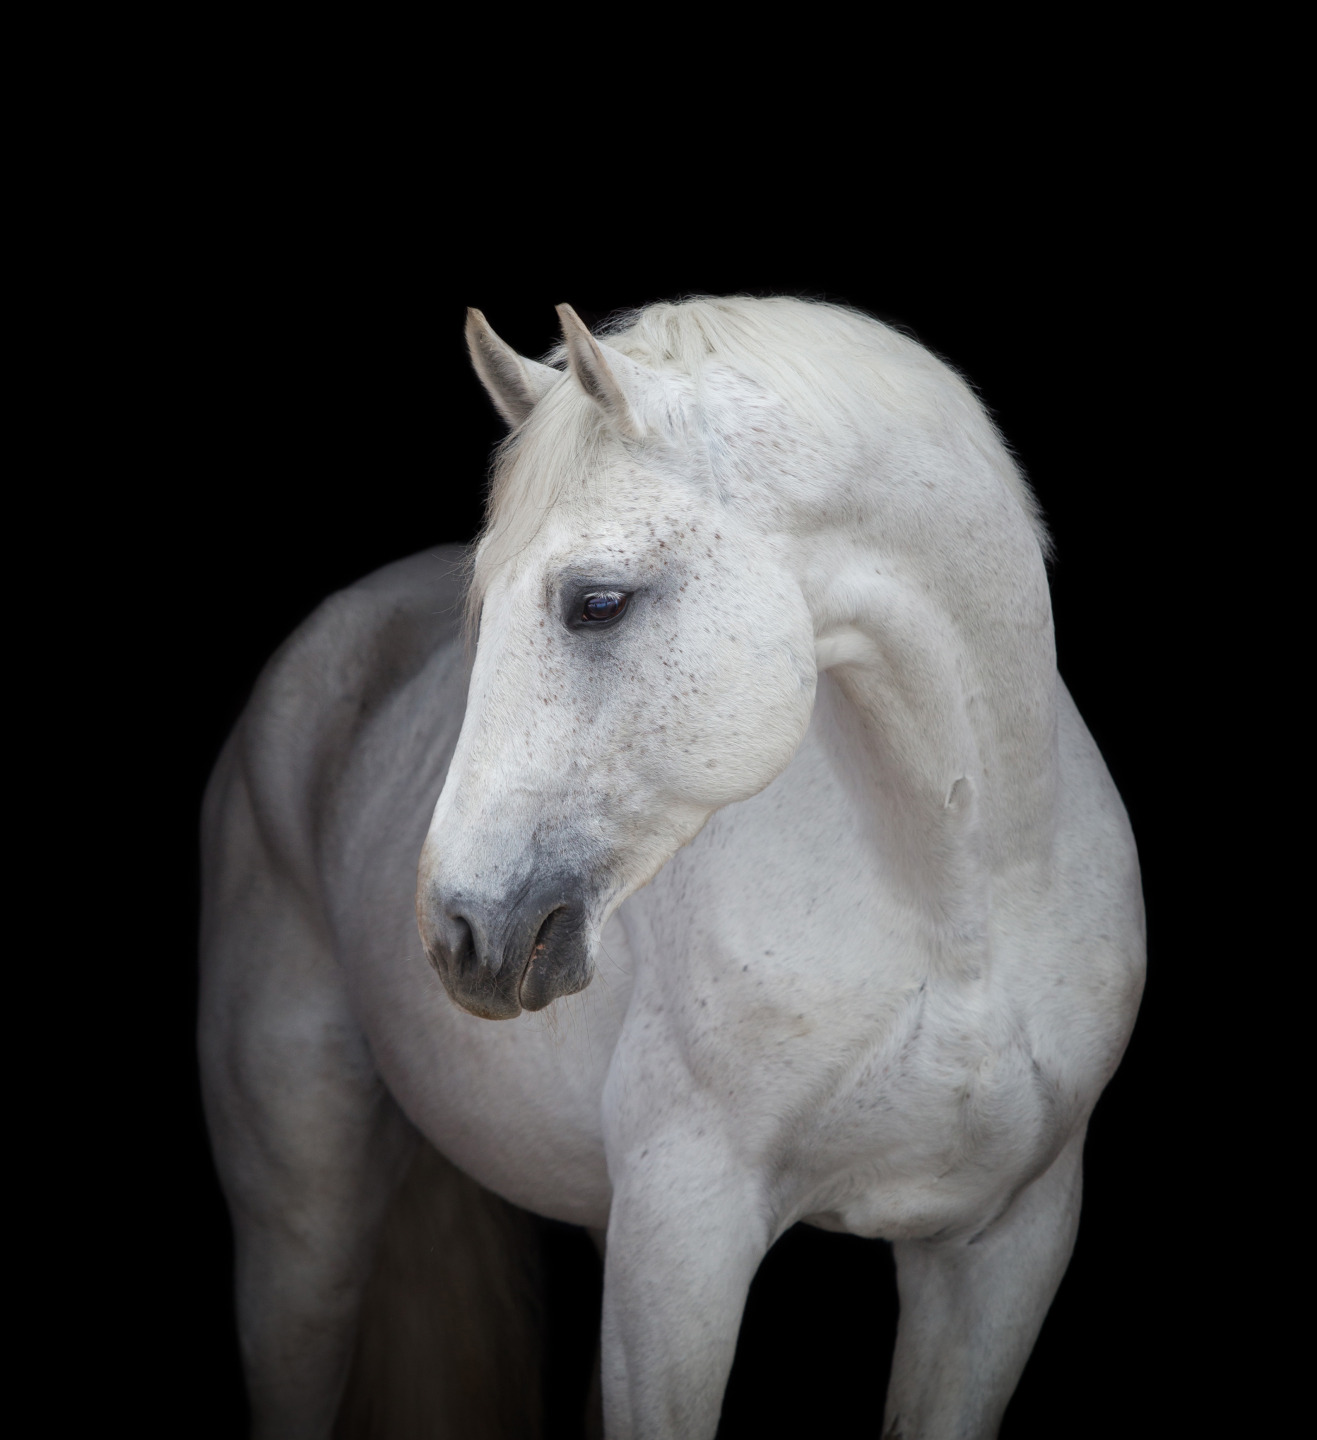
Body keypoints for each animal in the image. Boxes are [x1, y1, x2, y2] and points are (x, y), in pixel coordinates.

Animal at [201, 295, 1145, 1440]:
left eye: (598, 603)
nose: (457, 932)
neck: (961, 911)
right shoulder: (684, 1238)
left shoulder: (1004, 1248)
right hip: (302, 1233)